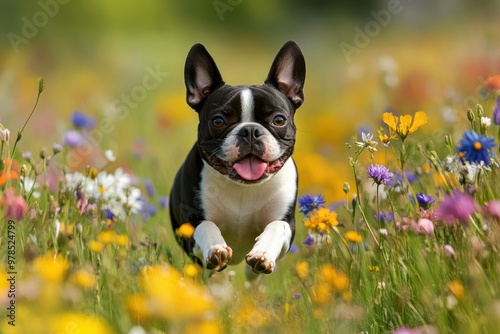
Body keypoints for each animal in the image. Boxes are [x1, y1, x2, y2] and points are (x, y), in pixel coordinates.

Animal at [170, 40, 306, 276]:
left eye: (279, 120)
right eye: (218, 121)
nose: (250, 130)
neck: (244, 188)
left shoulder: (287, 222)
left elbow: (276, 227)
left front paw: (263, 254)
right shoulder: (189, 221)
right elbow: (206, 225)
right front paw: (216, 249)